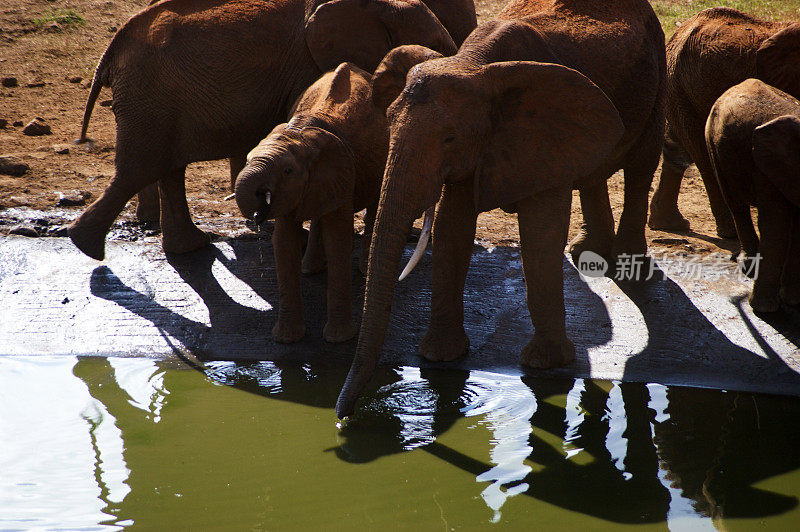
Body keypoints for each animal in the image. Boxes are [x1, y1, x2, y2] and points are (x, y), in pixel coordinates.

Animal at [69, 0, 476, 260]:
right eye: (436, 45)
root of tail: (110, 53)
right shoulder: (308, 65)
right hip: (148, 94)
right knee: (141, 167)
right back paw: (87, 246)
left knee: (168, 167)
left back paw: (189, 247)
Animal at [234, 63, 390, 344]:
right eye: (249, 159)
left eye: (287, 171)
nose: (261, 204)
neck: (301, 134)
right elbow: (284, 242)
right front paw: (287, 339)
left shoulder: (343, 170)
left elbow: (338, 239)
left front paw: (339, 339)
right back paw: (310, 269)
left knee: (375, 201)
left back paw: (363, 270)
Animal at [334, 0, 664, 418]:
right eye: (388, 127)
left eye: (449, 138)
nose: (342, 418)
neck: (474, 66)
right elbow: (452, 226)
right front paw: (440, 357)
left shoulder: (537, 130)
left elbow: (540, 230)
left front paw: (545, 365)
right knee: (595, 170)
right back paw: (588, 254)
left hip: (658, 63)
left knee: (642, 164)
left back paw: (628, 267)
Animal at [648, 6, 800, 238]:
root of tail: (682, 30)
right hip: (682, 85)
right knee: (702, 154)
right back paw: (730, 233)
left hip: (680, 87)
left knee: (677, 146)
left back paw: (668, 224)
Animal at [708, 78, 800, 312]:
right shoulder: (766, 167)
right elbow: (776, 223)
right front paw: (764, 310)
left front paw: (792, 302)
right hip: (712, 141)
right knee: (736, 204)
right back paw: (749, 267)